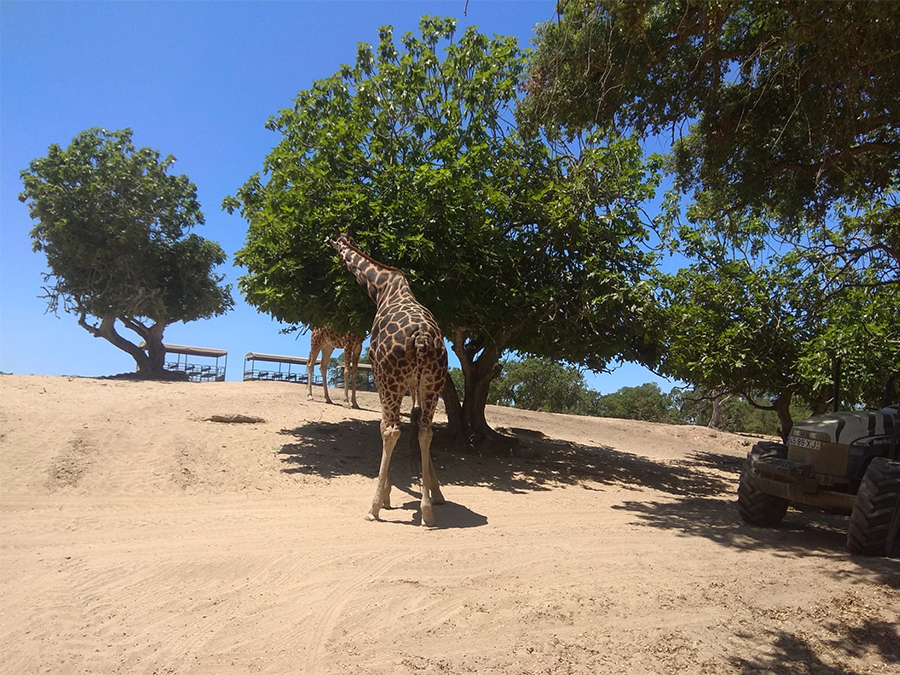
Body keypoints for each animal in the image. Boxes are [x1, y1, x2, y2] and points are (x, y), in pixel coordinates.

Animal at [332, 232, 448, 528]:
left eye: (335, 245)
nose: (336, 253)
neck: (382, 289)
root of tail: (422, 338)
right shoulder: (414, 384)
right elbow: (417, 424)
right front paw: (434, 493)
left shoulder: (380, 374)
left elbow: (384, 426)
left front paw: (385, 497)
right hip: (433, 383)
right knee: (427, 430)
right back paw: (427, 512)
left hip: (389, 379)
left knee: (391, 430)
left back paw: (373, 508)